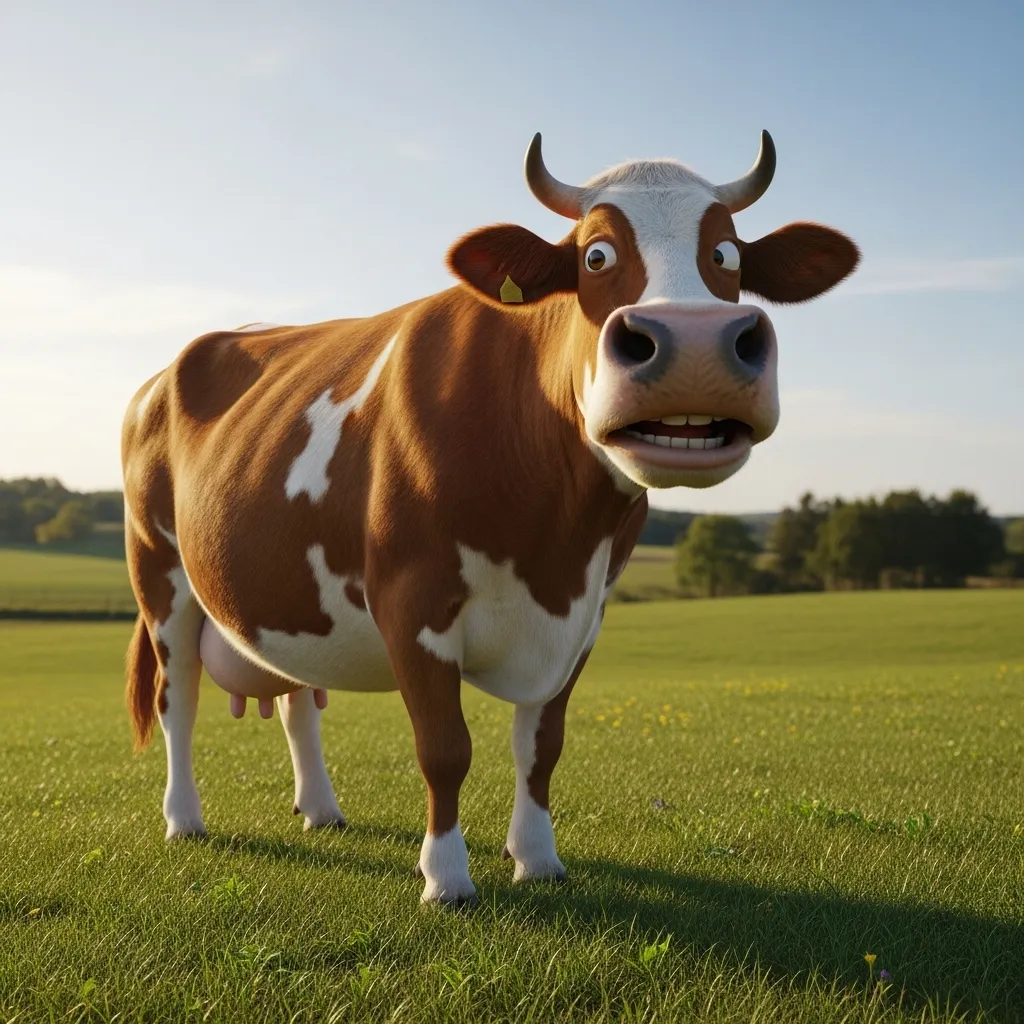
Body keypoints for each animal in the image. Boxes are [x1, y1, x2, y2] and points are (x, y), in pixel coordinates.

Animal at [122, 131, 858, 905]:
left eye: (728, 255)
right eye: (596, 256)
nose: (694, 347)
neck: (551, 541)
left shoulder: (586, 613)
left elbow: (542, 745)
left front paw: (537, 858)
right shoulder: (411, 600)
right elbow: (445, 749)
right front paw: (446, 878)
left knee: (296, 697)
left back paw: (321, 810)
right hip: (160, 575)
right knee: (177, 700)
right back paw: (184, 820)